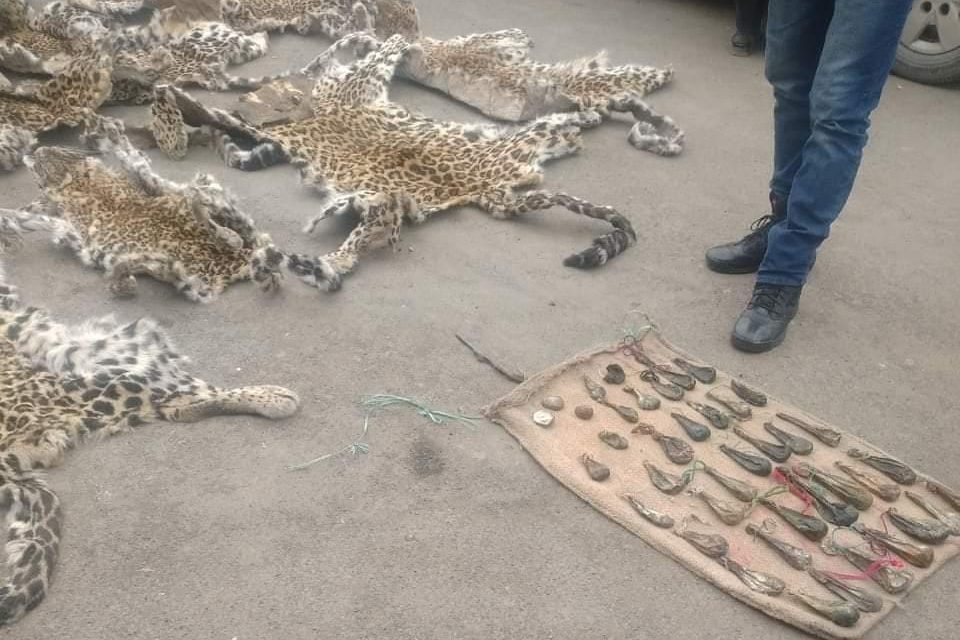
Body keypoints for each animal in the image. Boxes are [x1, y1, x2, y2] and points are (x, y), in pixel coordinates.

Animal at [5, 114, 338, 301]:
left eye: (45, 160)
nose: (38, 150)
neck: (79, 185)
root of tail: (241, 260)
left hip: (199, 276)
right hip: (205, 271)